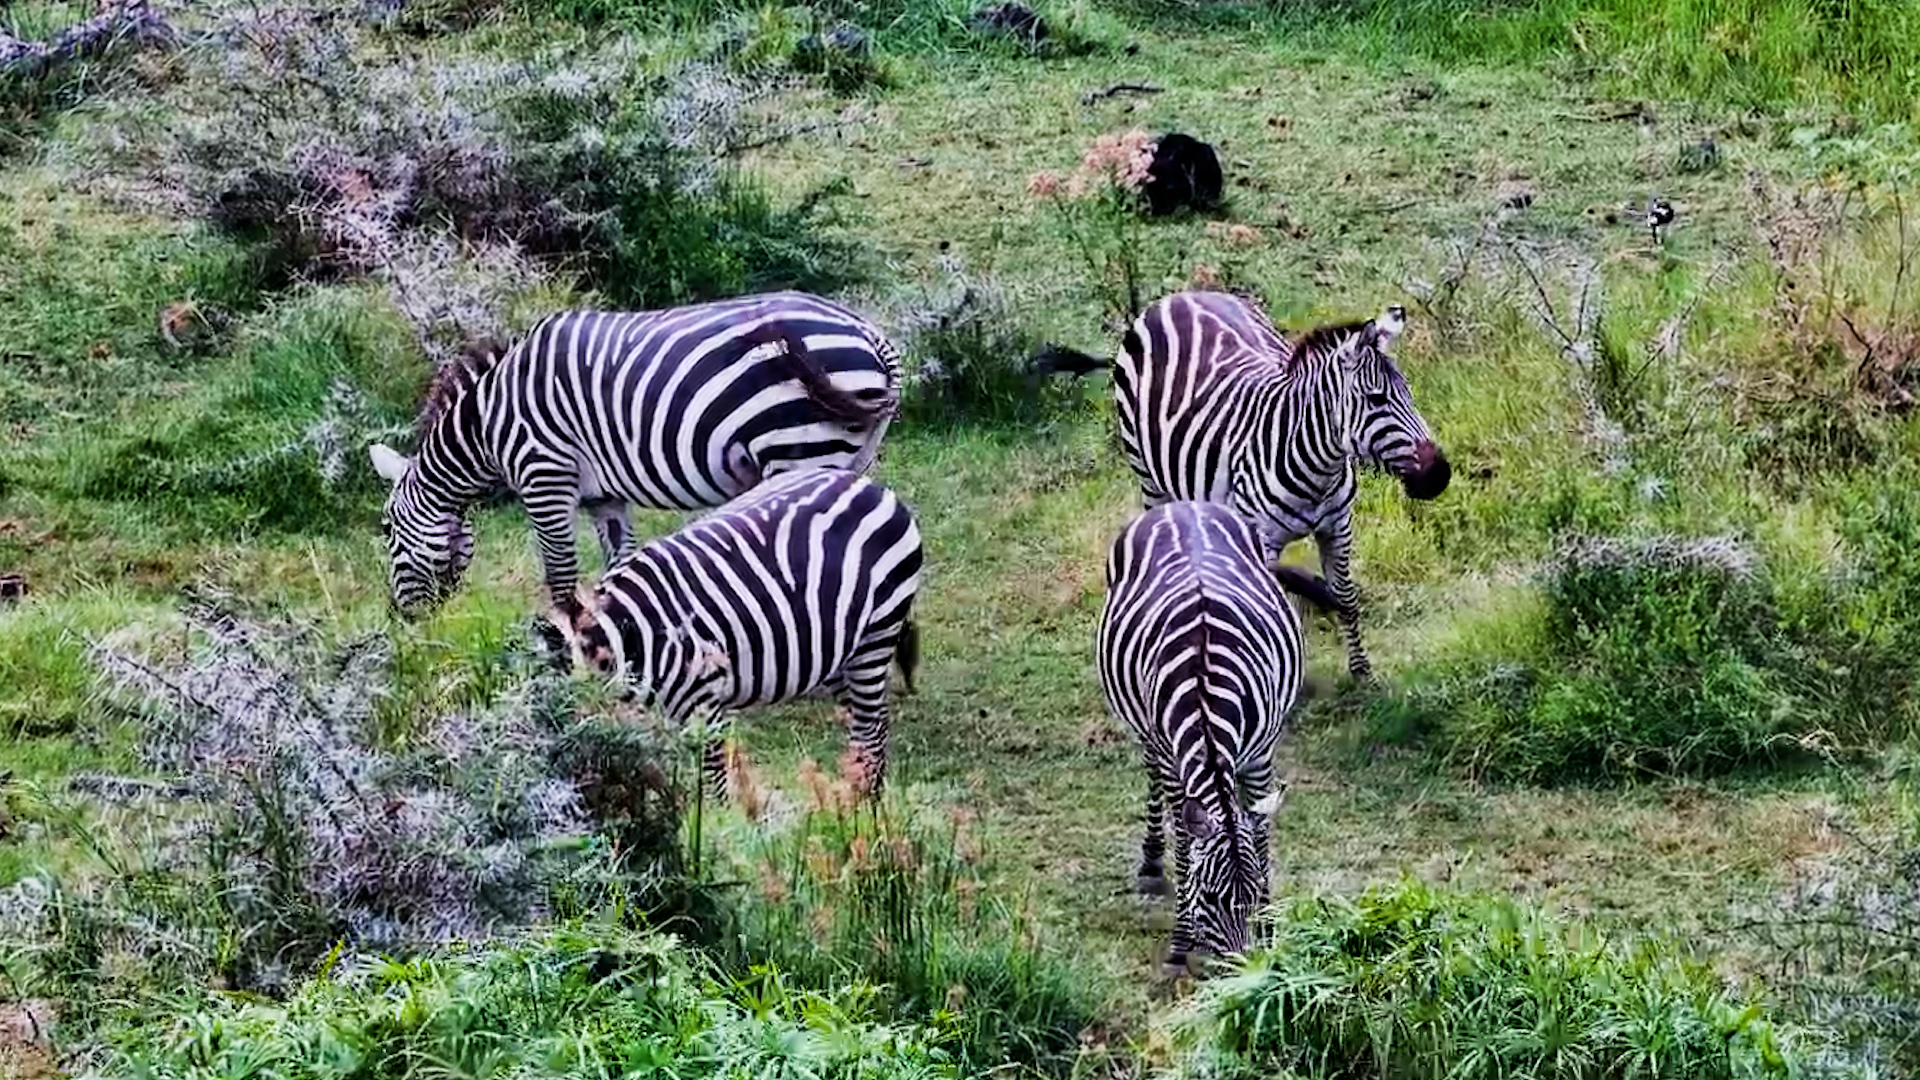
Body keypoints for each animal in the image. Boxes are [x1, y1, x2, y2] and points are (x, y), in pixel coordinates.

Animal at [365, 291, 905, 624]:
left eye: (388, 530)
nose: (400, 618)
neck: (487, 424)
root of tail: (867, 333)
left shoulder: (545, 478)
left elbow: (560, 575)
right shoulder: (603, 497)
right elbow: (616, 564)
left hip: (799, 448)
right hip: (852, 456)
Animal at [547, 466, 923, 800]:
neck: (637, 636)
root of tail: (873, 487)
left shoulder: (705, 702)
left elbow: (713, 782)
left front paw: (716, 825)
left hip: (876, 635)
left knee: (868, 725)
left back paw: (865, 805)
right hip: (837, 651)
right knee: (873, 723)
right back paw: (861, 798)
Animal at [1039, 289, 1450, 681]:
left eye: (1409, 392)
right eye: (1377, 400)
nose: (1440, 475)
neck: (1317, 468)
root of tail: (1172, 299)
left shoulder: (1338, 527)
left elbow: (1346, 597)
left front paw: (1362, 670)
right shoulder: (1262, 540)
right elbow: (1270, 610)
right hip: (1148, 476)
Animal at [1096, 500, 1301, 975]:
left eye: (1252, 895)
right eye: (1210, 897)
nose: (1247, 972)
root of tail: (1182, 505)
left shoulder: (1261, 751)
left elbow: (1260, 832)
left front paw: (1270, 928)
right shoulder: (1176, 759)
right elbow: (1186, 845)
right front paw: (1180, 943)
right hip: (1148, 733)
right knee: (1155, 785)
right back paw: (1152, 863)